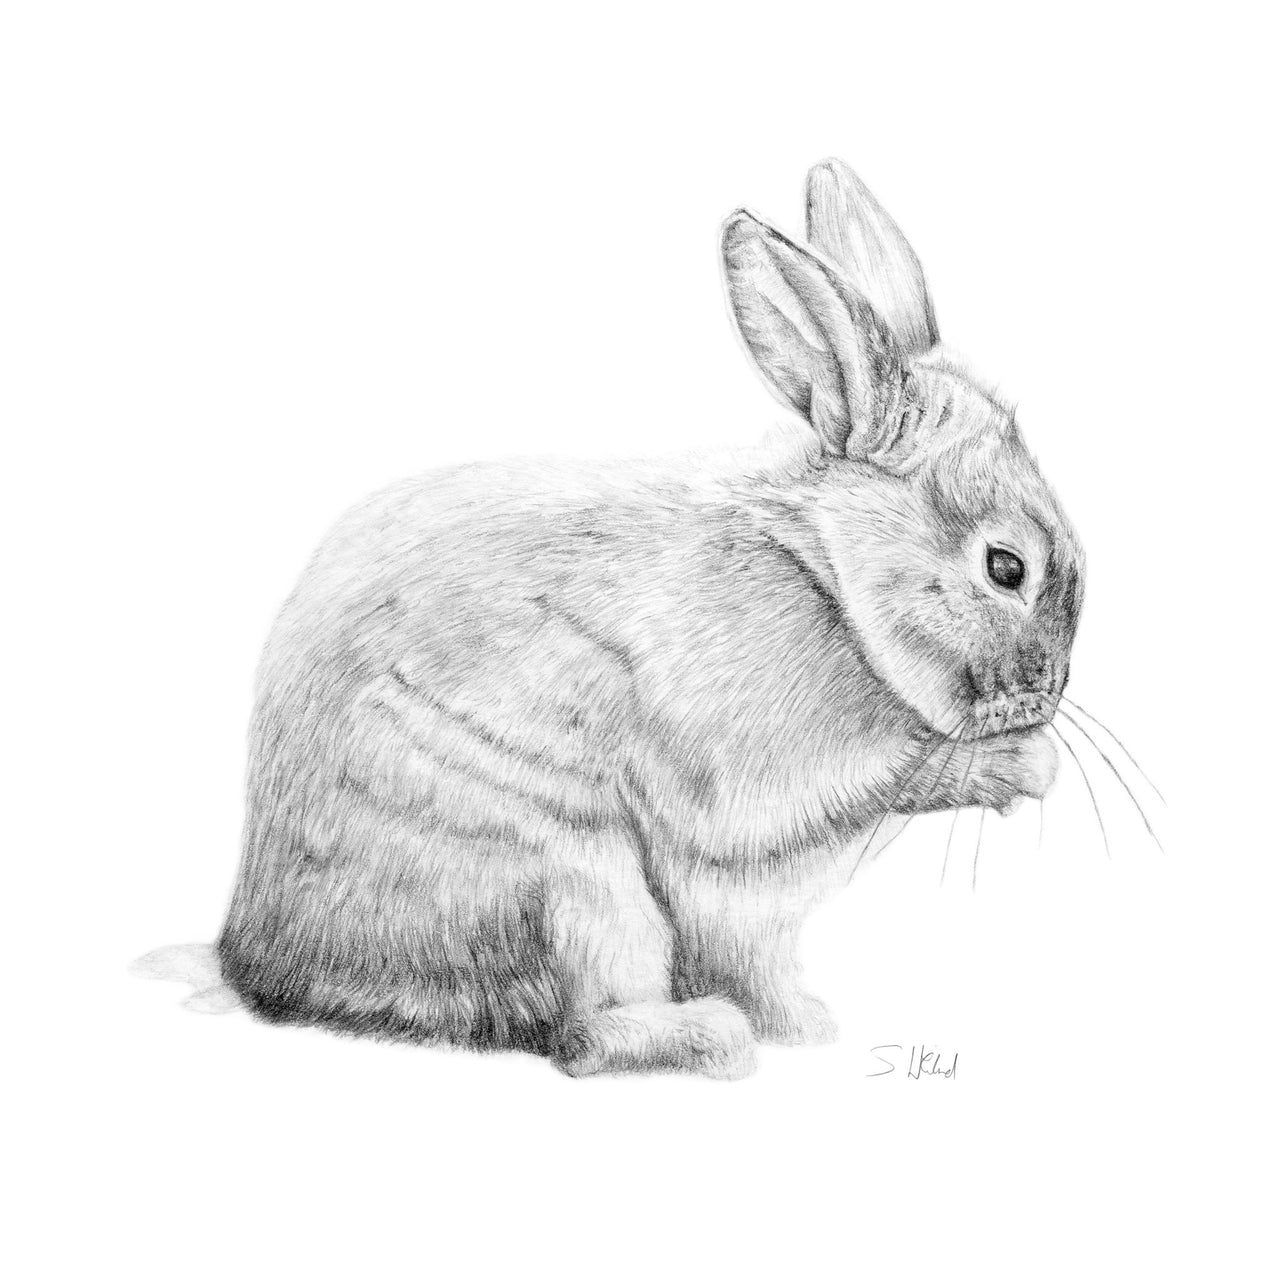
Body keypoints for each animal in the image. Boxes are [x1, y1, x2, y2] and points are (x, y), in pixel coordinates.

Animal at [207, 159, 1082, 1079]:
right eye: (1007, 567)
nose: (1048, 693)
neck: (827, 577)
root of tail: (257, 955)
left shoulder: (749, 920)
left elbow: (761, 968)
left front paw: (806, 1028)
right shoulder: (756, 795)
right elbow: (884, 778)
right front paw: (1023, 765)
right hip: (569, 882)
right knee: (581, 1037)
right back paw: (708, 1040)